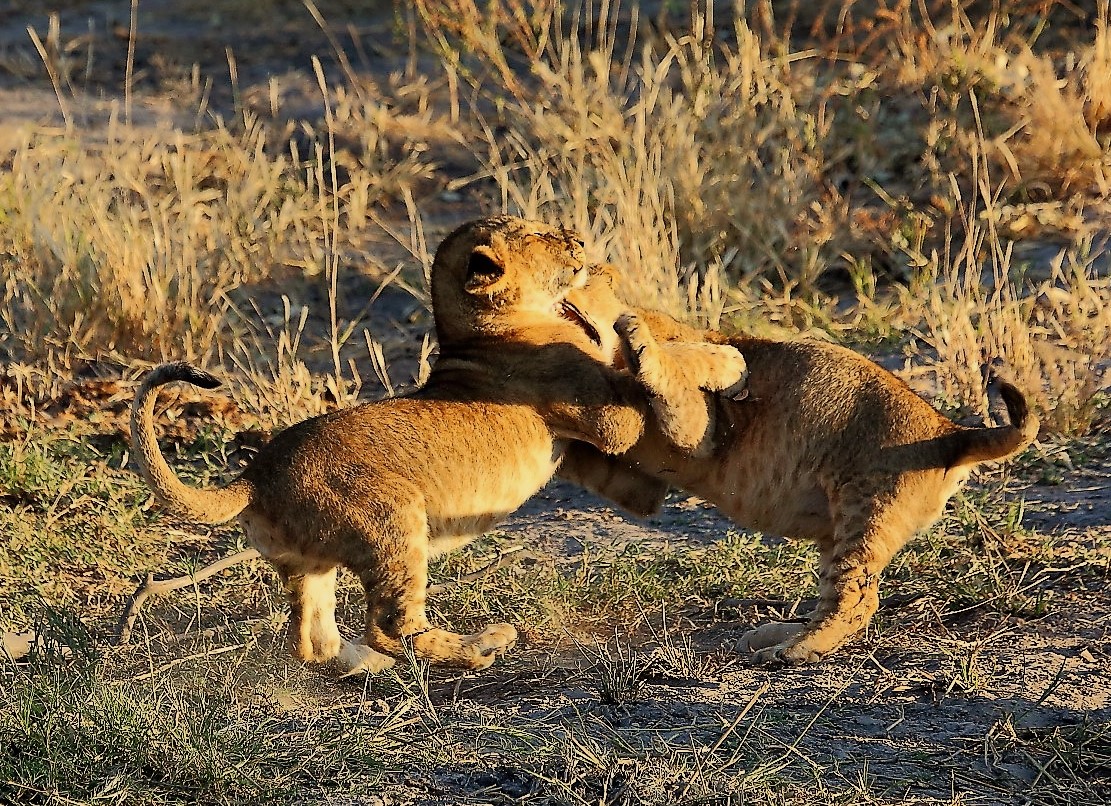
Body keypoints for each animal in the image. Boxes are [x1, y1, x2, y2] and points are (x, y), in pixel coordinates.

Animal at [130, 216, 747, 674]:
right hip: (394, 518)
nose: (579, 241)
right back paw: (481, 645)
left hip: (309, 564)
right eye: (538, 236)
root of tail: (253, 476)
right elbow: (667, 364)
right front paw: (726, 360)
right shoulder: (607, 414)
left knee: (313, 641)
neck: (485, 331)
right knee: (390, 625)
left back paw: (364, 663)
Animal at [556, 264, 1039, 665]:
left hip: (865, 508)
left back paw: (794, 650)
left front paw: (638, 340)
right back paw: (775, 635)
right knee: (835, 597)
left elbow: (669, 374)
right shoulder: (637, 484)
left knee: (857, 601)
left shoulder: (700, 430)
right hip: (840, 529)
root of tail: (951, 432)